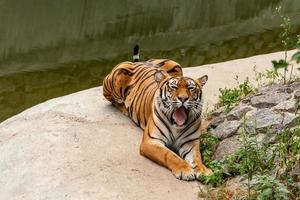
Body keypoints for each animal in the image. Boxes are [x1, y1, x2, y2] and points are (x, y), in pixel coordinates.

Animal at [102, 45, 211, 181]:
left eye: (191, 88)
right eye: (173, 87)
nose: (183, 98)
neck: (177, 126)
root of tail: (140, 62)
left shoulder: (190, 142)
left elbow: (197, 157)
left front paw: (203, 170)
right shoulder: (151, 141)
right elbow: (169, 154)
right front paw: (184, 170)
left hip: (175, 64)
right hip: (116, 76)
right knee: (113, 100)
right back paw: (124, 107)